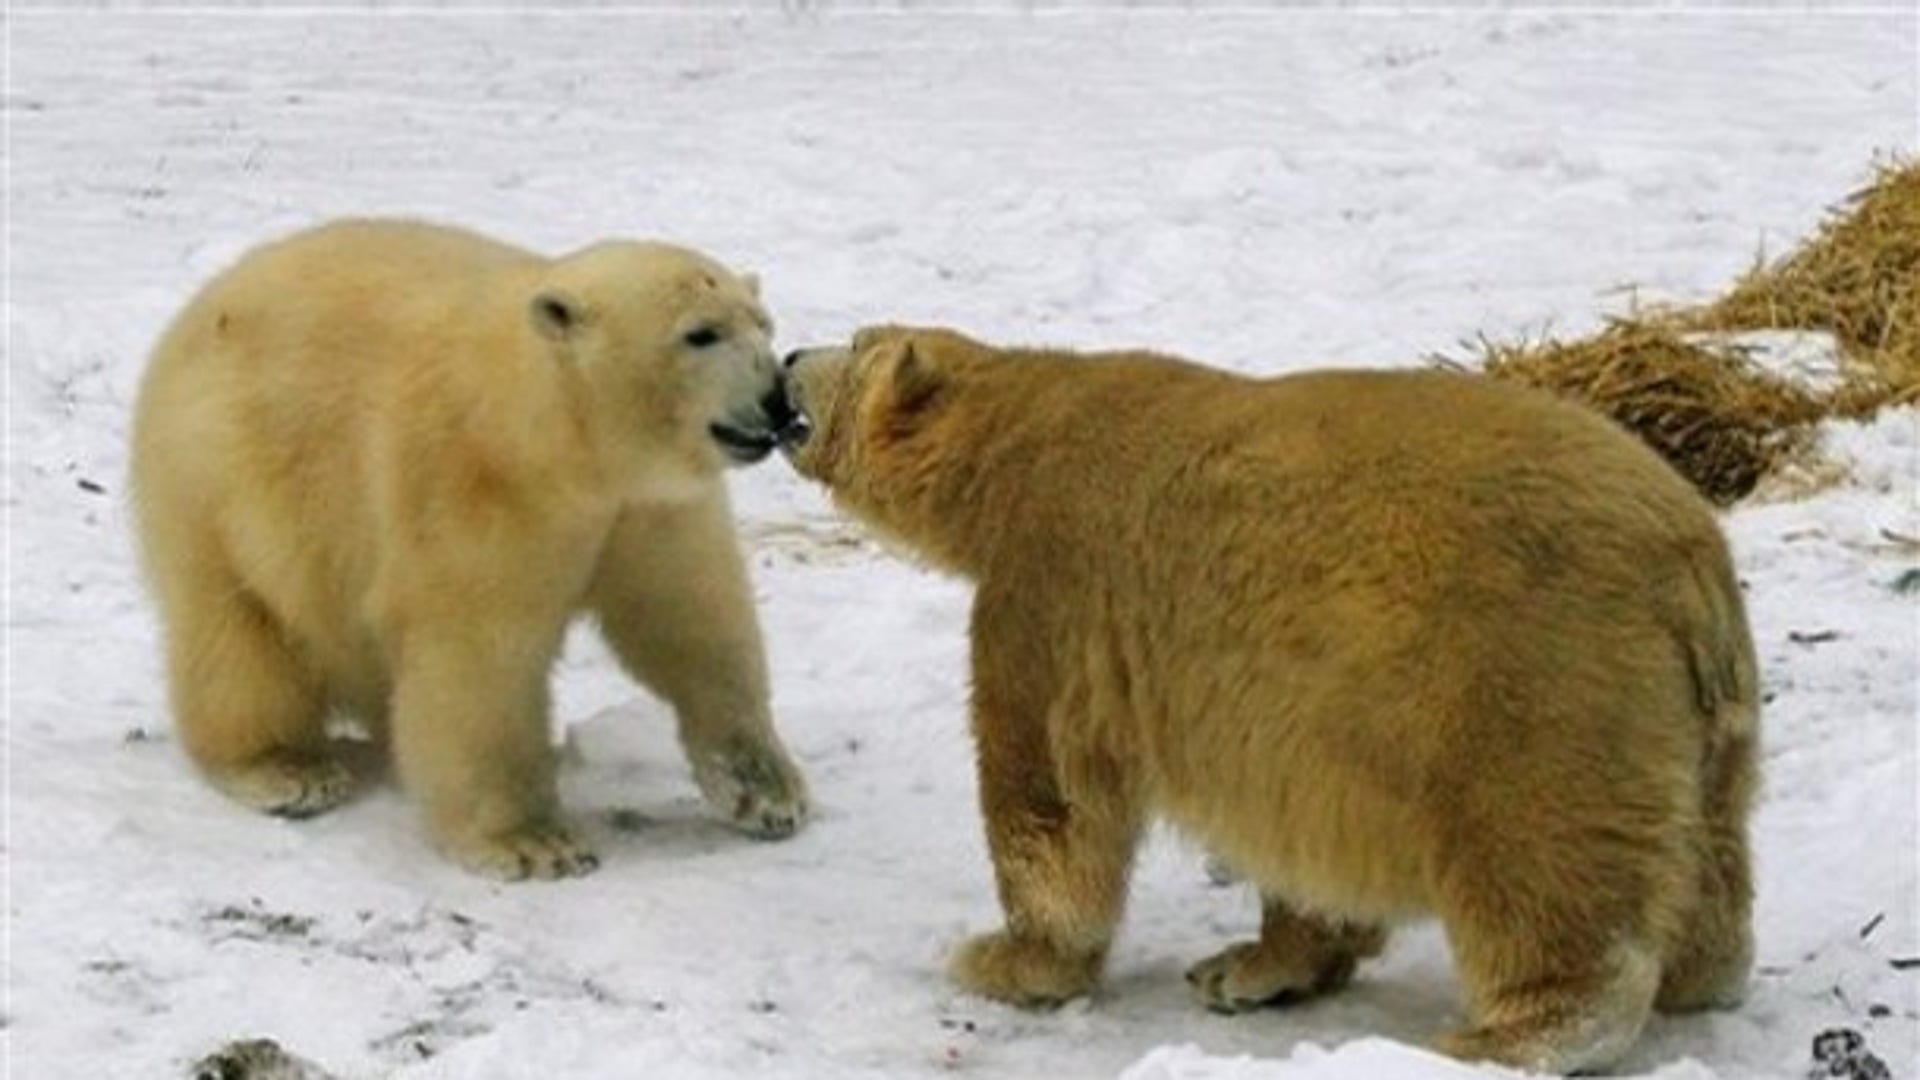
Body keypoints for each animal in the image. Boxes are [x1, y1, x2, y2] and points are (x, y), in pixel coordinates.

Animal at [125, 216, 802, 876]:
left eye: (763, 323)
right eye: (700, 334)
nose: (779, 398)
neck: (555, 440)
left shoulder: (649, 507)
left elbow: (694, 620)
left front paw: (765, 790)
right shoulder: (470, 490)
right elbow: (478, 657)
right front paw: (532, 842)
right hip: (221, 486)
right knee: (240, 633)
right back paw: (286, 768)